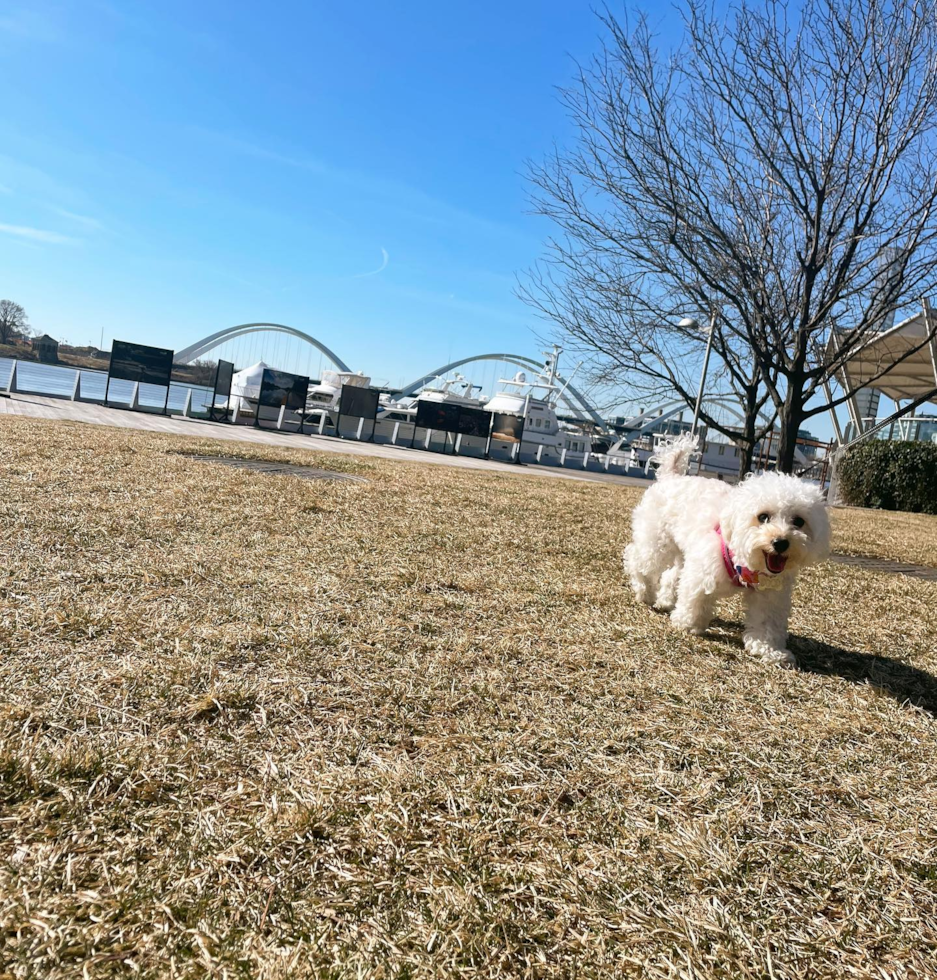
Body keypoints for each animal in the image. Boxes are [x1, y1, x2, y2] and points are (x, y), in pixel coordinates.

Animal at [624, 434, 828, 668]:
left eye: (799, 521)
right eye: (763, 517)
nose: (780, 542)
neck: (747, 563)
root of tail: (671, 477)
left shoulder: (769, 596)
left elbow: (767, 622)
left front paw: (770, 651)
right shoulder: (702, 570)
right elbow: (695, 597)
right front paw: (687, 623)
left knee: (670, 575)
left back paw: (666, 600)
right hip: (656, 542)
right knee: (637, 559)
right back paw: (645, 593)